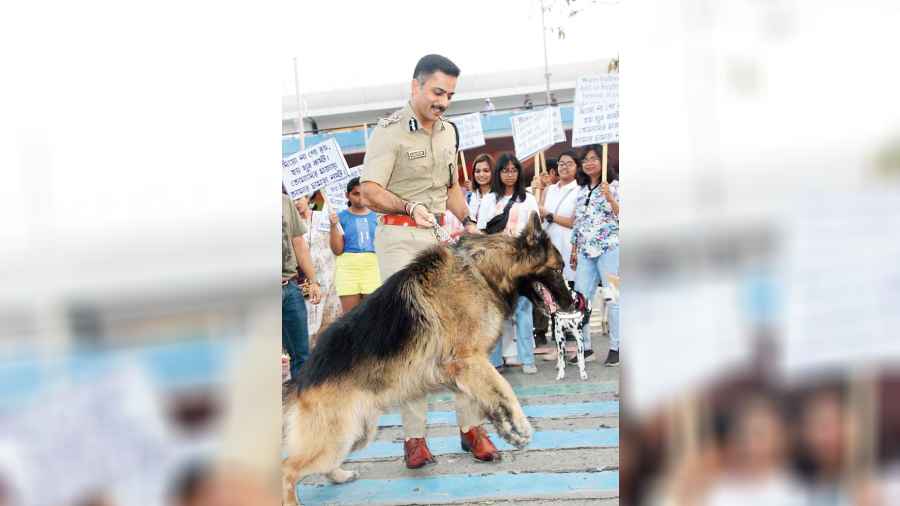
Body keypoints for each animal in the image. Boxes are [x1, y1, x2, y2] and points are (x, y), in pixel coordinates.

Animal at [282, 214, 572, 506]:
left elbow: (490, 397)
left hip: (357, 433)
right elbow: (506, 389)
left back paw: (339, 475)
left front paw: (505, 429)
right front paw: (521, 426)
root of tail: (301, 378)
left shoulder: (469, 368)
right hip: (338, 437)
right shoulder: (469, 360)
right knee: (287, 469)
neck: (481, 270)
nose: (573, 304)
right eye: (558, 270)